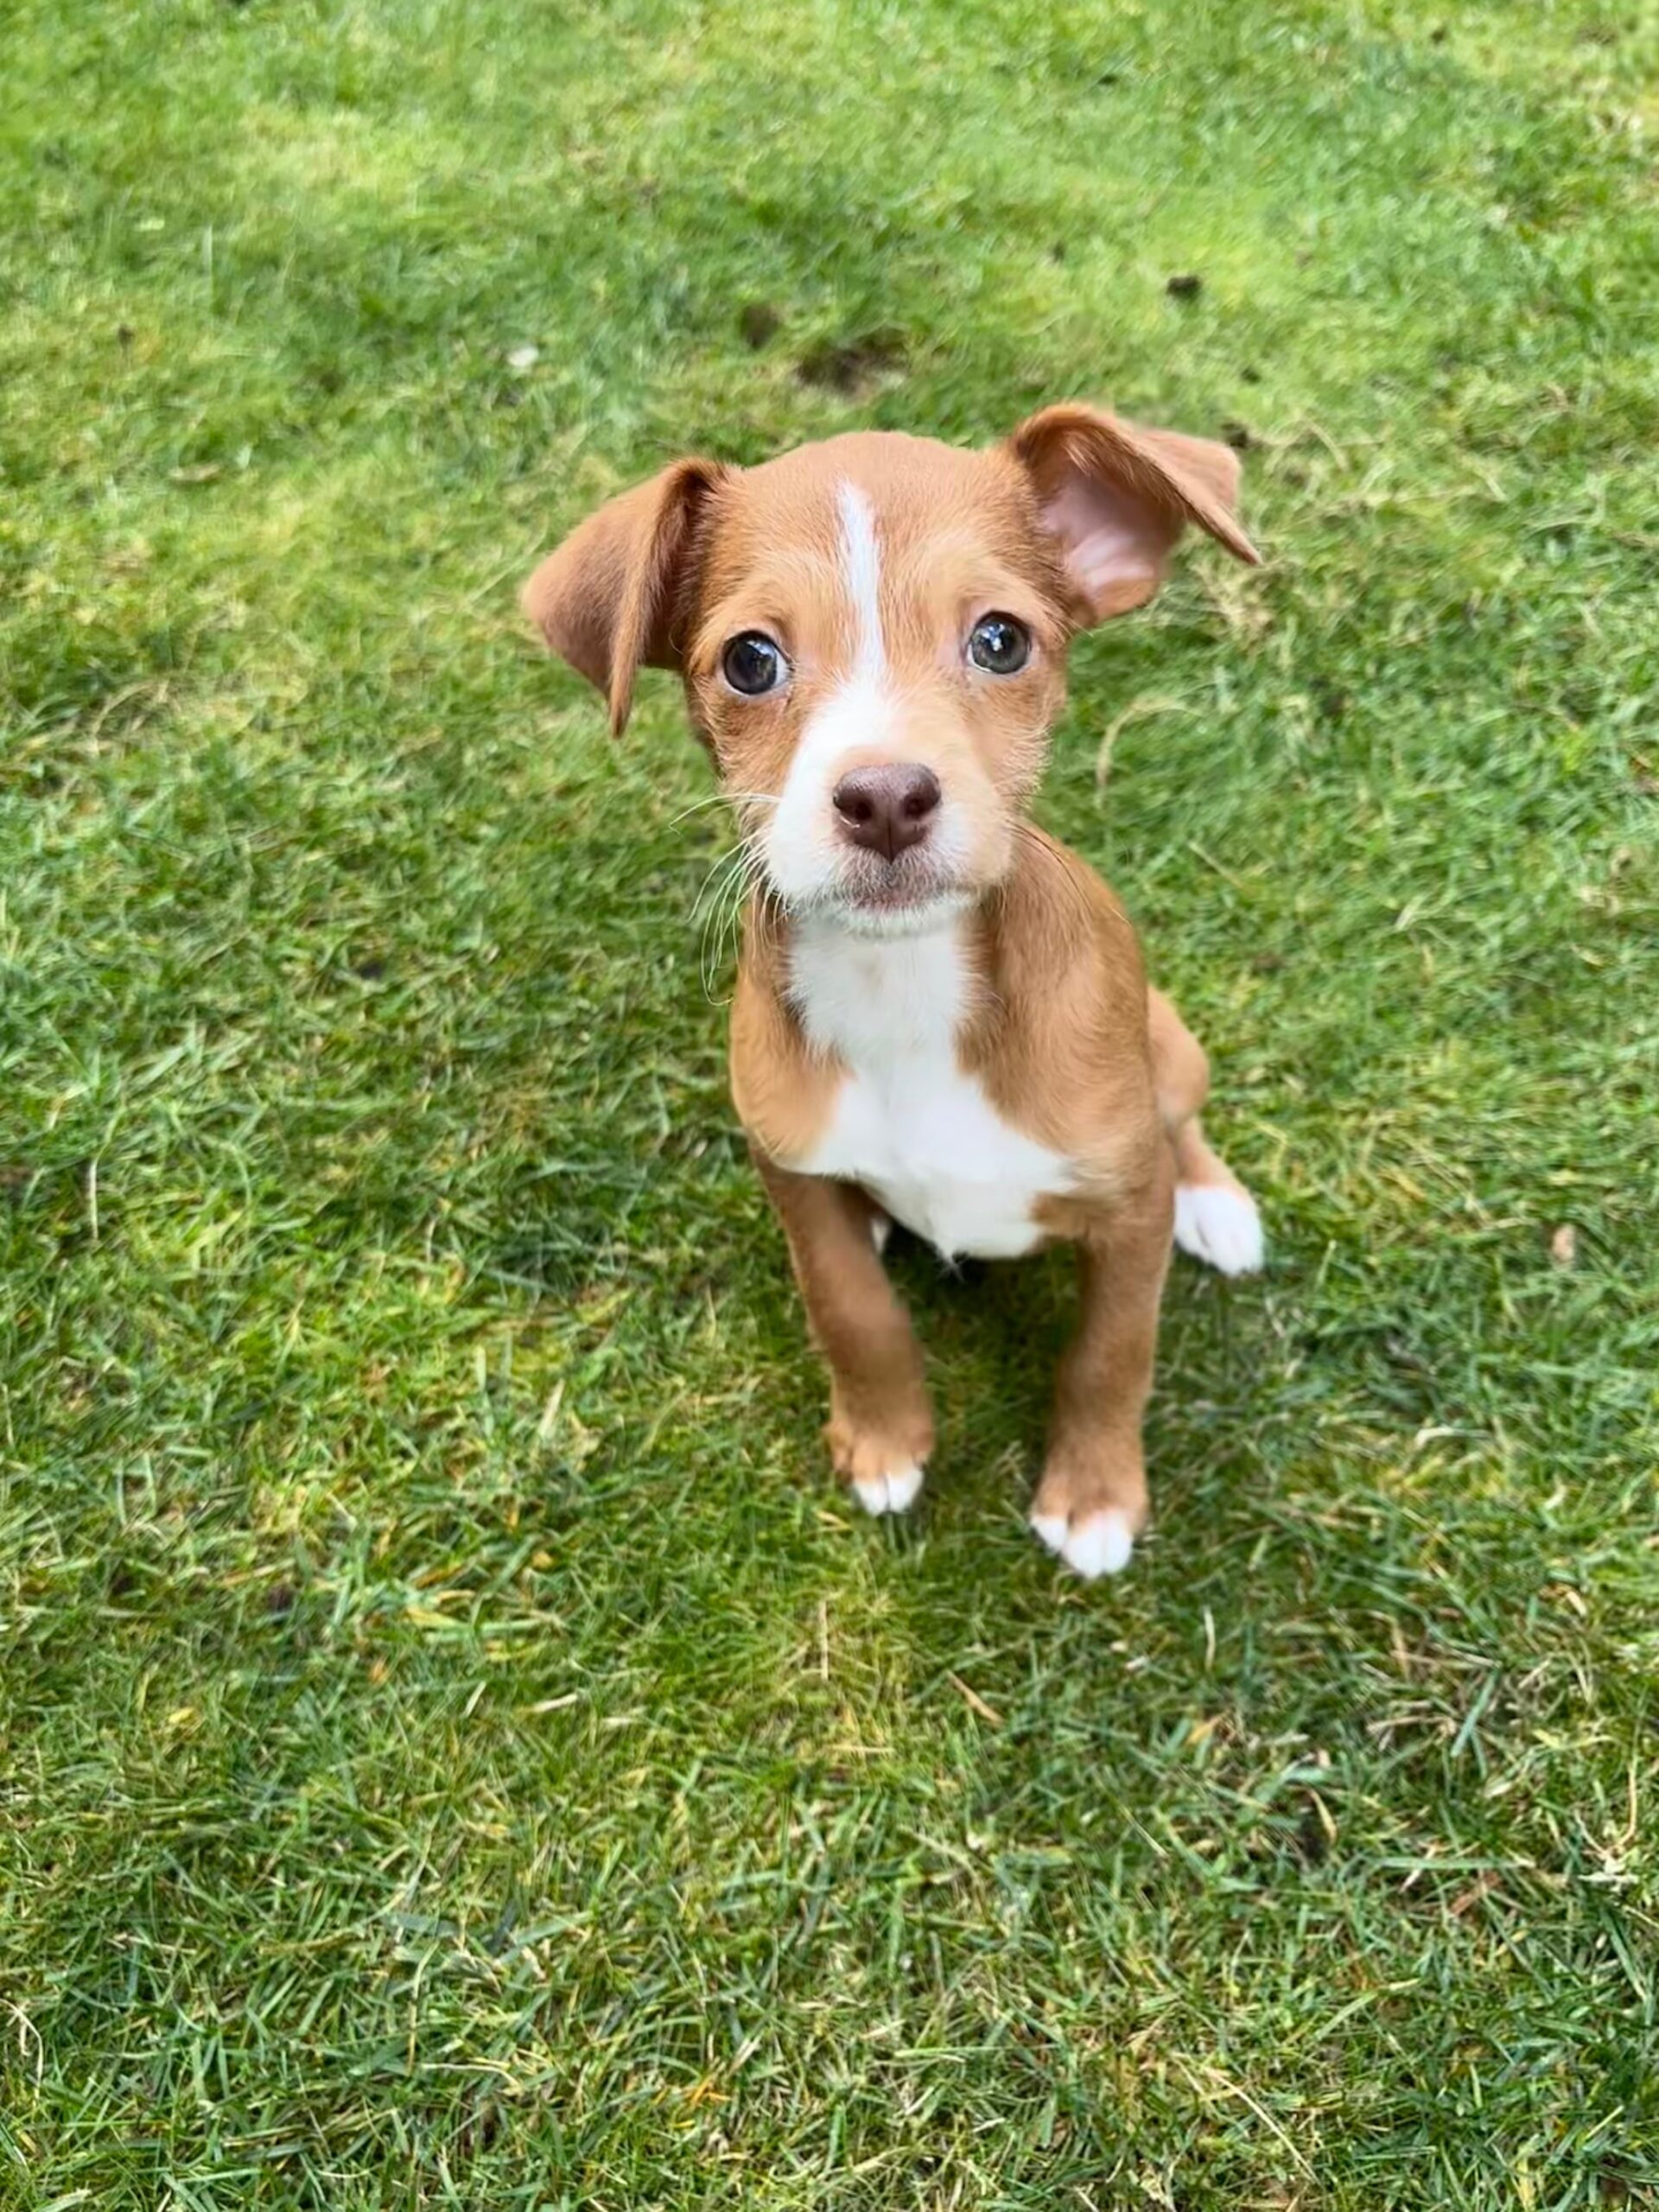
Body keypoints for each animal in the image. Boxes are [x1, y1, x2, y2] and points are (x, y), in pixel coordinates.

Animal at [526, 411, 1265, 1574]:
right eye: (750, 659)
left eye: (1001, 640)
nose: (884, 797)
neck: (905, 988)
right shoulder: (787, 1167)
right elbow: (853, 1312)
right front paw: (883, 1439)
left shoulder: (1126, 1206)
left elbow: (1113, 1350)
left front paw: (1096, 1495)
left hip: (1173, 1045)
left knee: (1180, 1118)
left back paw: (1219, 1204)